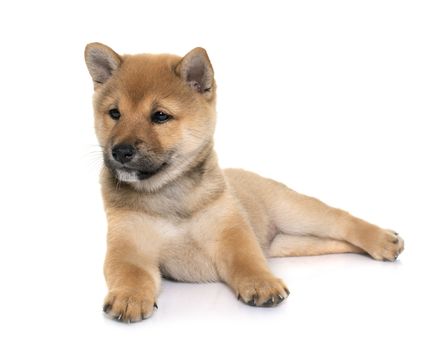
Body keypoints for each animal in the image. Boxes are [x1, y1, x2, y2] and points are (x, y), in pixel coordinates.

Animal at [83, 43, 404, 322]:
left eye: (160, 116)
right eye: (114, 113)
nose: (120, 151)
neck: (169, 193)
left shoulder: (232, 235)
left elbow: (248, 262)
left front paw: (261, 284)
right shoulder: (129, 247)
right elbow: (131, 274)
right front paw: (129, 297)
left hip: (298, 214)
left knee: (341, 220)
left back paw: (383, 240)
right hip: (294, 243)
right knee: (335, 242)